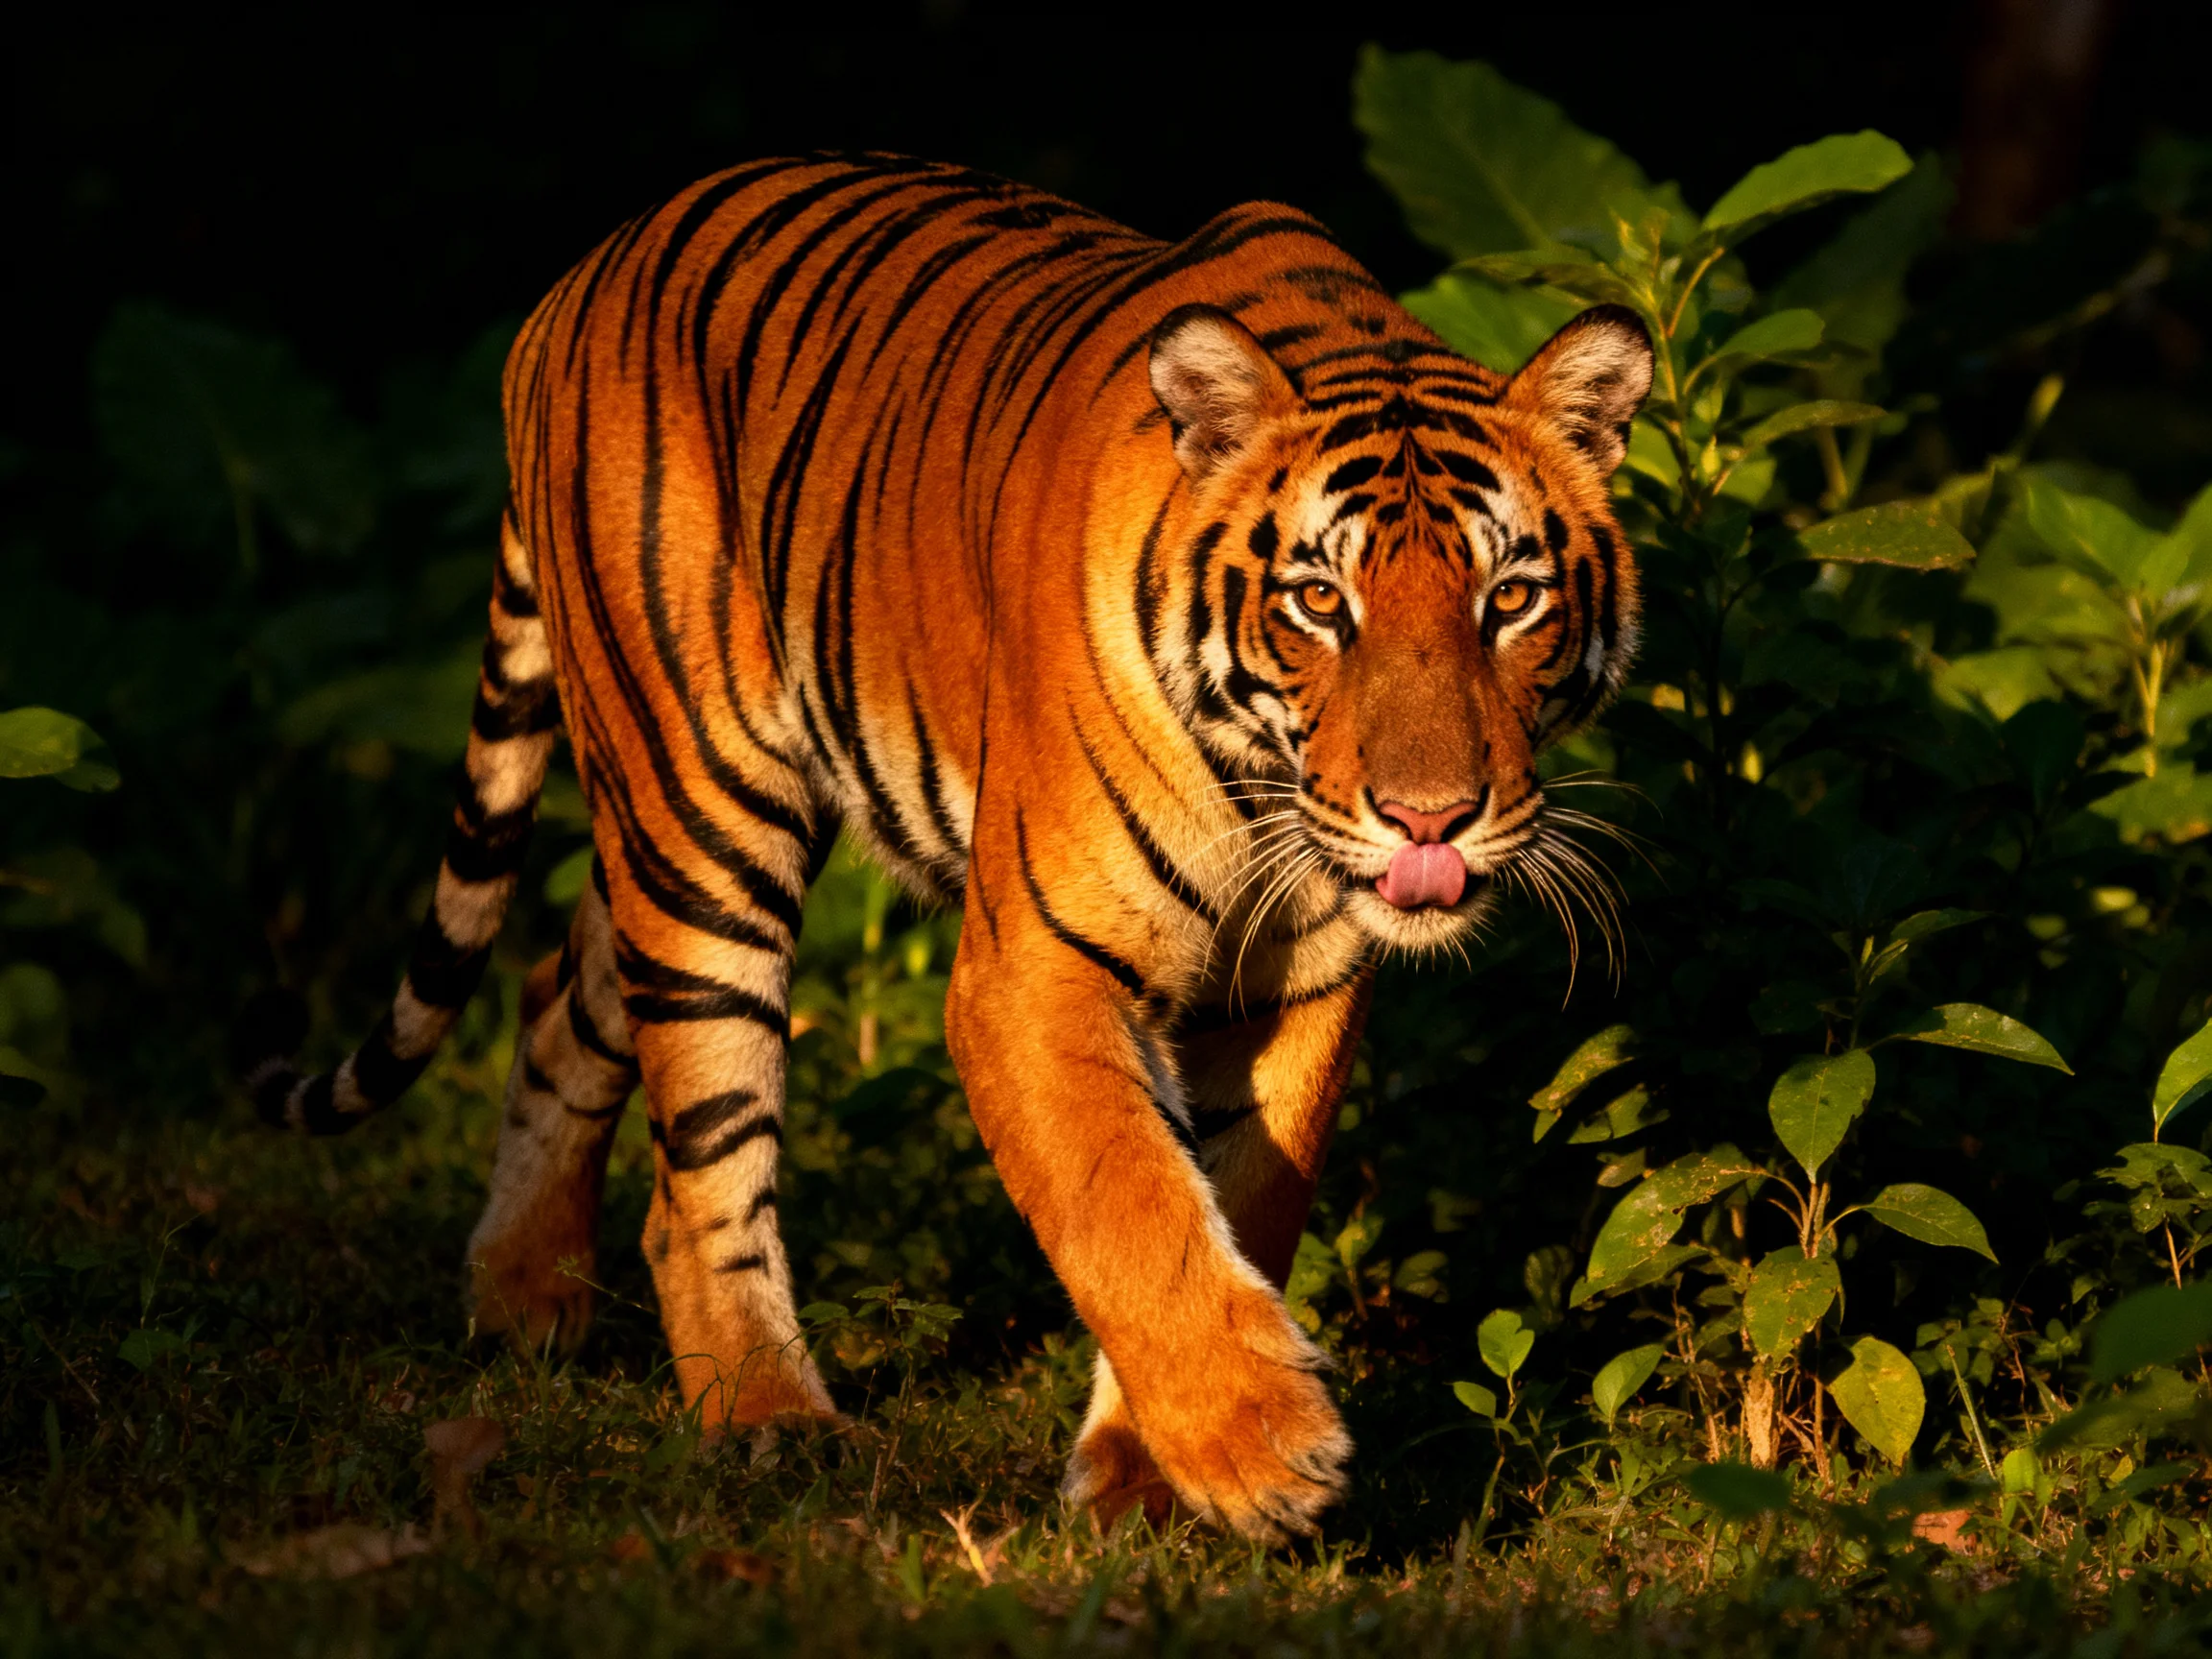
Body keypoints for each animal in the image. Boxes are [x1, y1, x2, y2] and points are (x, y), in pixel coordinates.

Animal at [240, 152, 1651, 1541]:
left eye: (1511, 598)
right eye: (1320, 601)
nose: (1430, 817)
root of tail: (577, 277)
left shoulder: (1300, 981)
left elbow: (1242, 1200)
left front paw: (1148, 1473)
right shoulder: (1034, 969)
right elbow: (1130, 1201)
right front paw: (1263, 1448)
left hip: (657, 833)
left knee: (558, 988)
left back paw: (522, 1300)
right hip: (703, 811)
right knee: (700, 1167)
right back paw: (770, 1417)